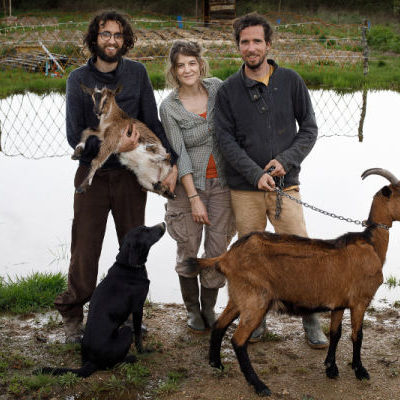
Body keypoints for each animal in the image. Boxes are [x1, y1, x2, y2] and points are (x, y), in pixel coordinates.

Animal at [35, 223, 164, 376]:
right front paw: (143, 352)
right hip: (125, 332)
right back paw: (130, 358)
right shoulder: (138, 307)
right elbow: (138, 335)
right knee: (112, 363)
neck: (127, 266)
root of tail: (90, 362)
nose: (163, 223)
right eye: (146, 230)